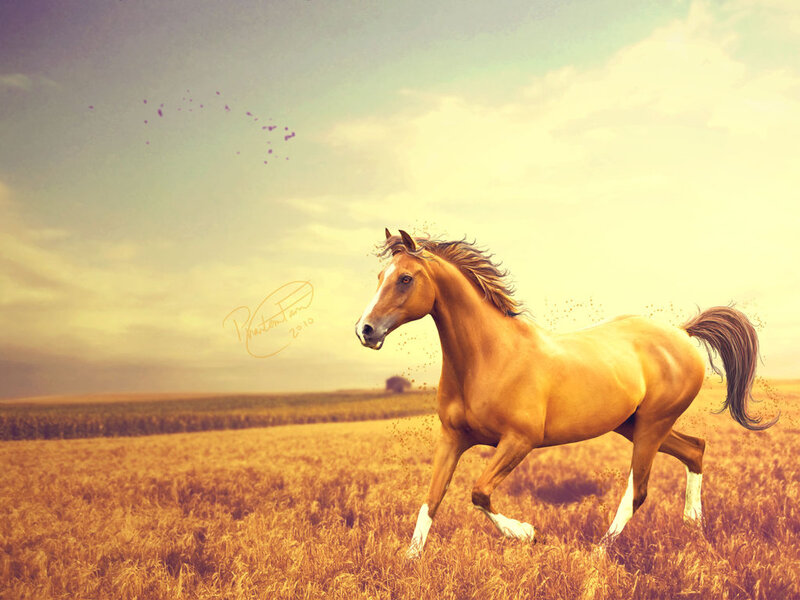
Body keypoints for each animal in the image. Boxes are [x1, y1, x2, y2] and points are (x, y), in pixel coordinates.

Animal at [355, 229, 778, 559]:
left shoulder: (519, 441)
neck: (490, 356)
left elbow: (479, 492)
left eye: (405, 279)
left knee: (638, 491)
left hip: (652, 425)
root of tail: (683, 333)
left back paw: (599, 551)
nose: (365, 330)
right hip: (634, 425)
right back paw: (693, 526)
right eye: (379, 275)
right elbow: (431, 500)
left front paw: (525, 533)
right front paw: (410, 562)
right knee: (695, 449)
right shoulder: (452, 438)